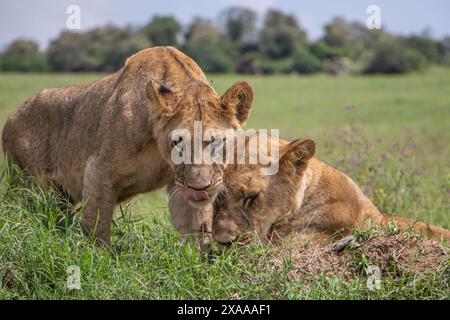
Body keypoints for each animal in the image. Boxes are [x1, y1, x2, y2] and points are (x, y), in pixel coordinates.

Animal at [0, 45, 253, 245]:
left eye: (217, 142)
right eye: (177, 143)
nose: (199, 187)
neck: (158, 150)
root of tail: (10, 118)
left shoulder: (179, 185)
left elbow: (197, 232)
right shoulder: (98, 171)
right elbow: (97, 229)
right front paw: (100, 264)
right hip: (28, 187)